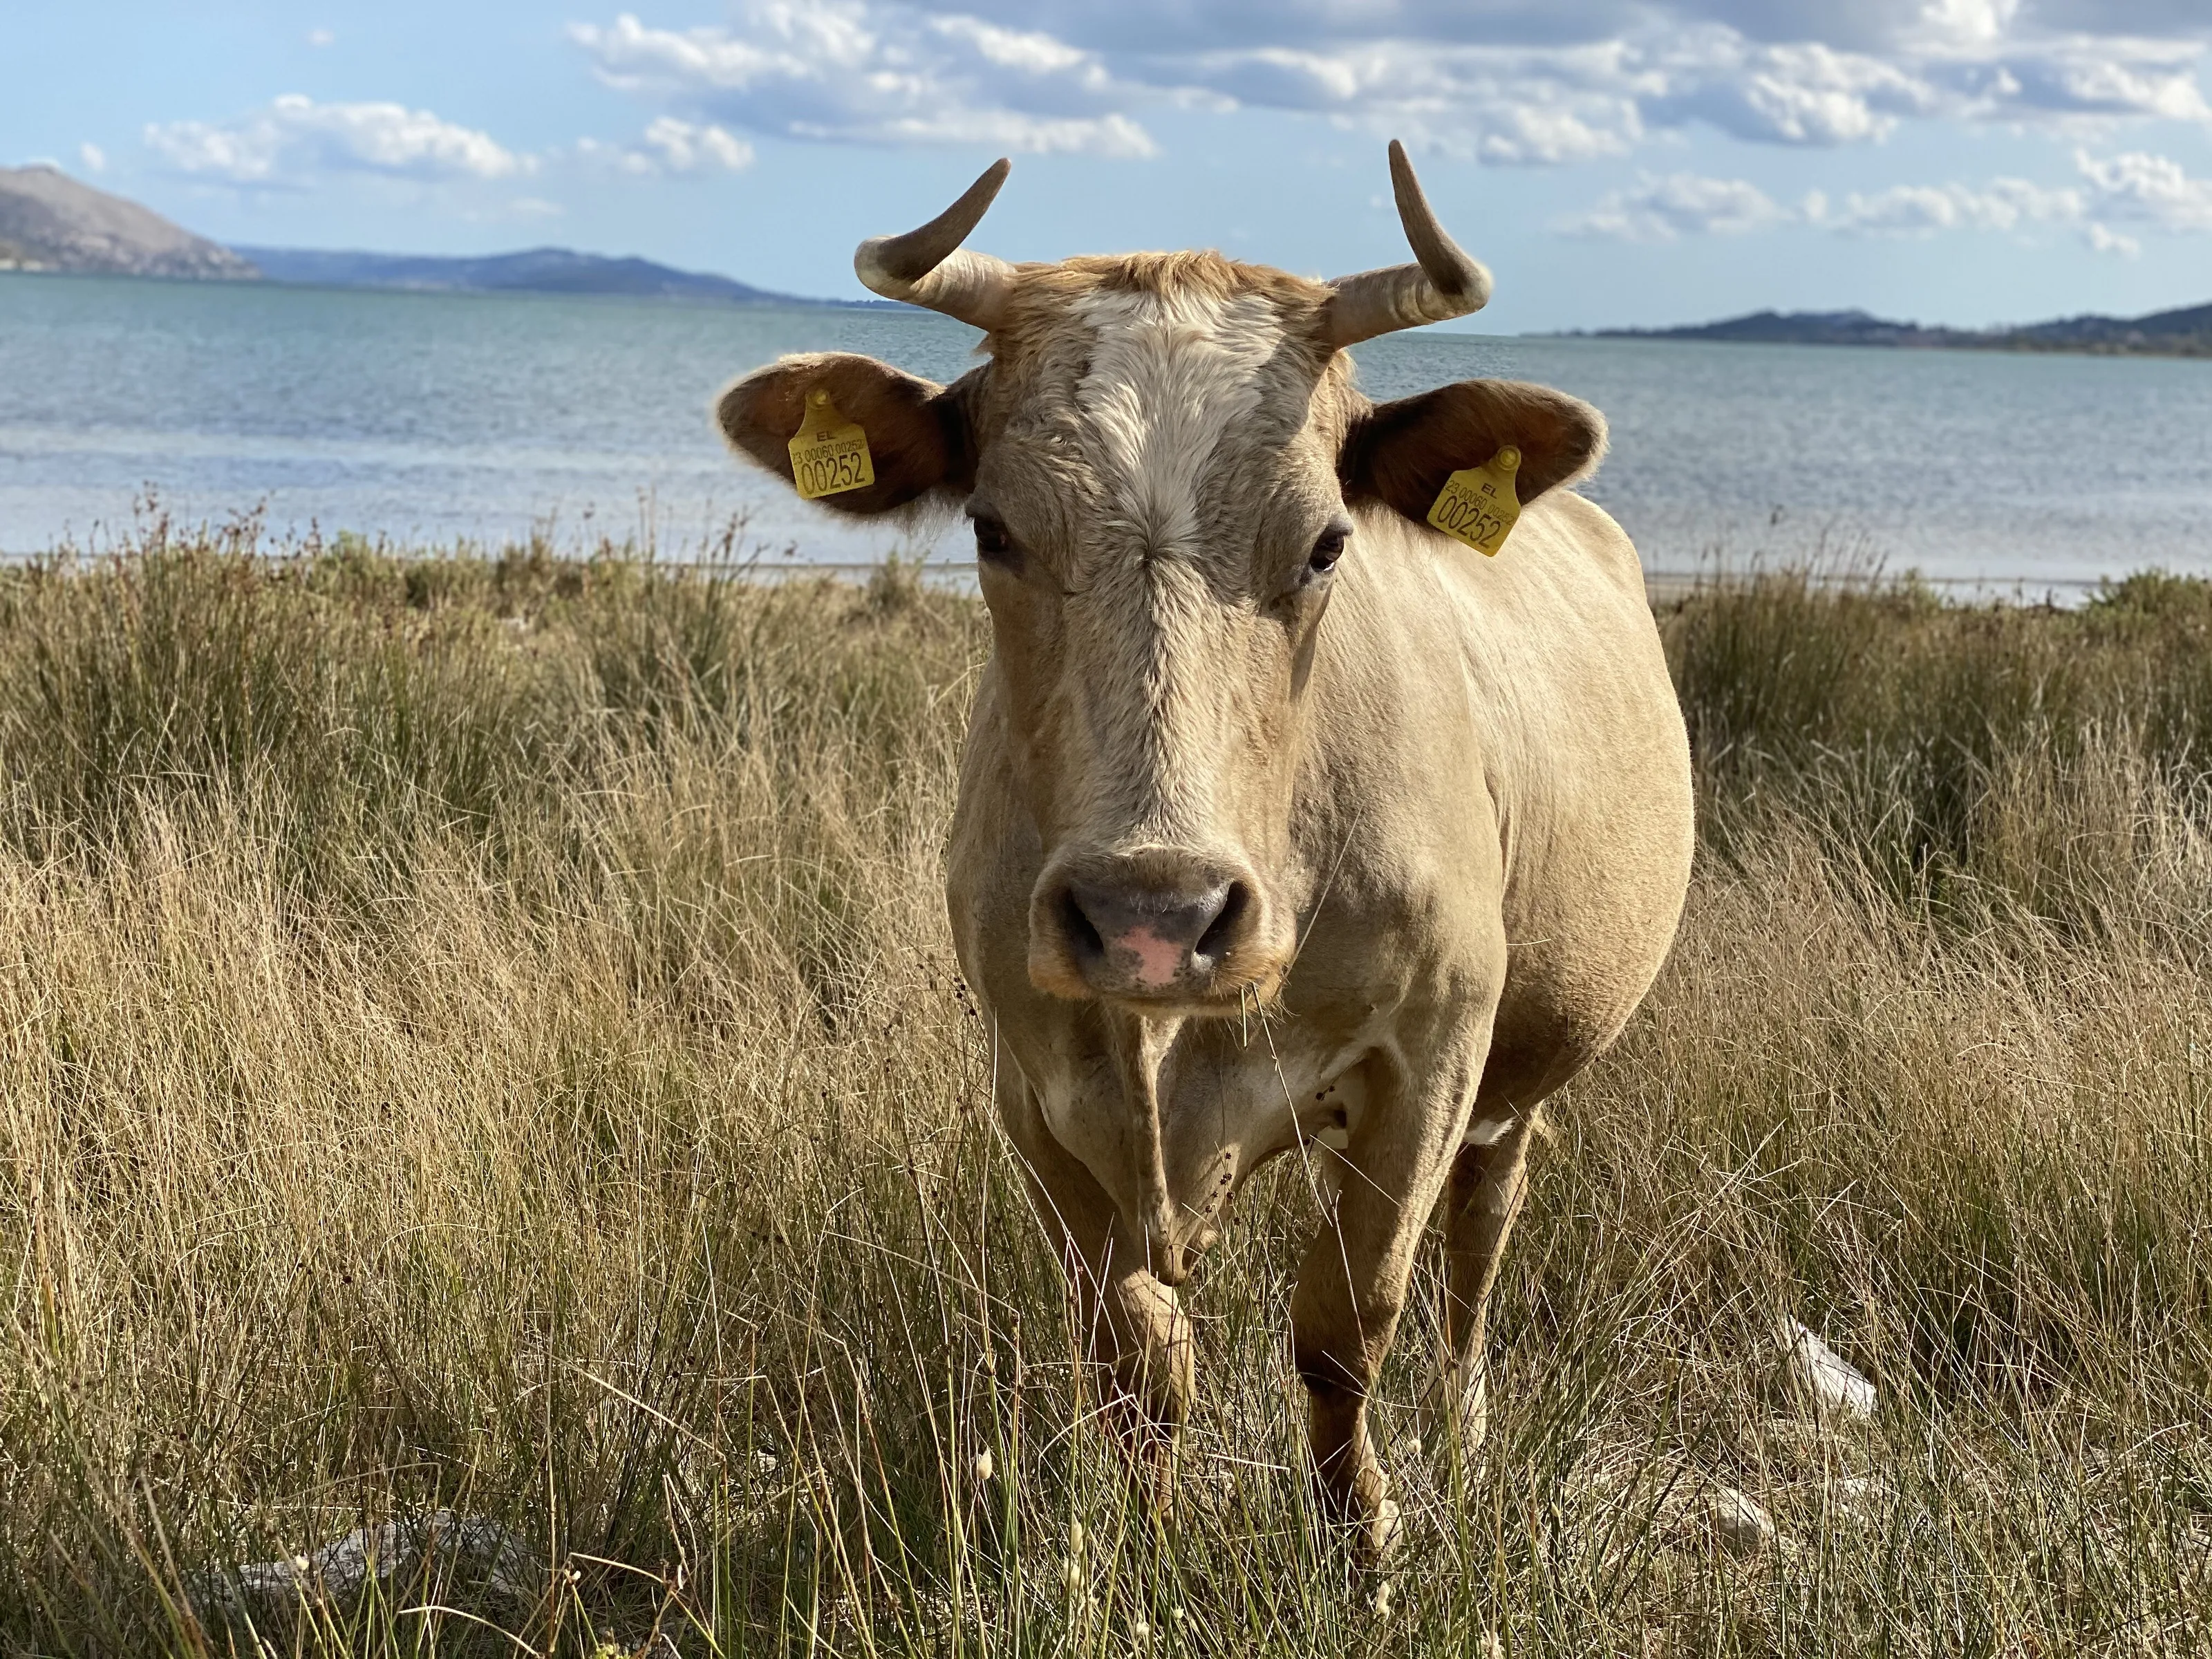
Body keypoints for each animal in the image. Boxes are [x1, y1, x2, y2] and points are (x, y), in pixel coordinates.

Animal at [717, 143, 1694, 1560]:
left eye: (1329, 541)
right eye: (992, 531)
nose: (1153, 916)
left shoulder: (1431, 1056)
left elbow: (1345, 1330)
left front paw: (1367, 1553)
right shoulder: (1034, 1086)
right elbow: (1138, 1357)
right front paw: (1143, 1554)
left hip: (1521, 1071)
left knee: (1478, 1243)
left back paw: (1464, 1440)